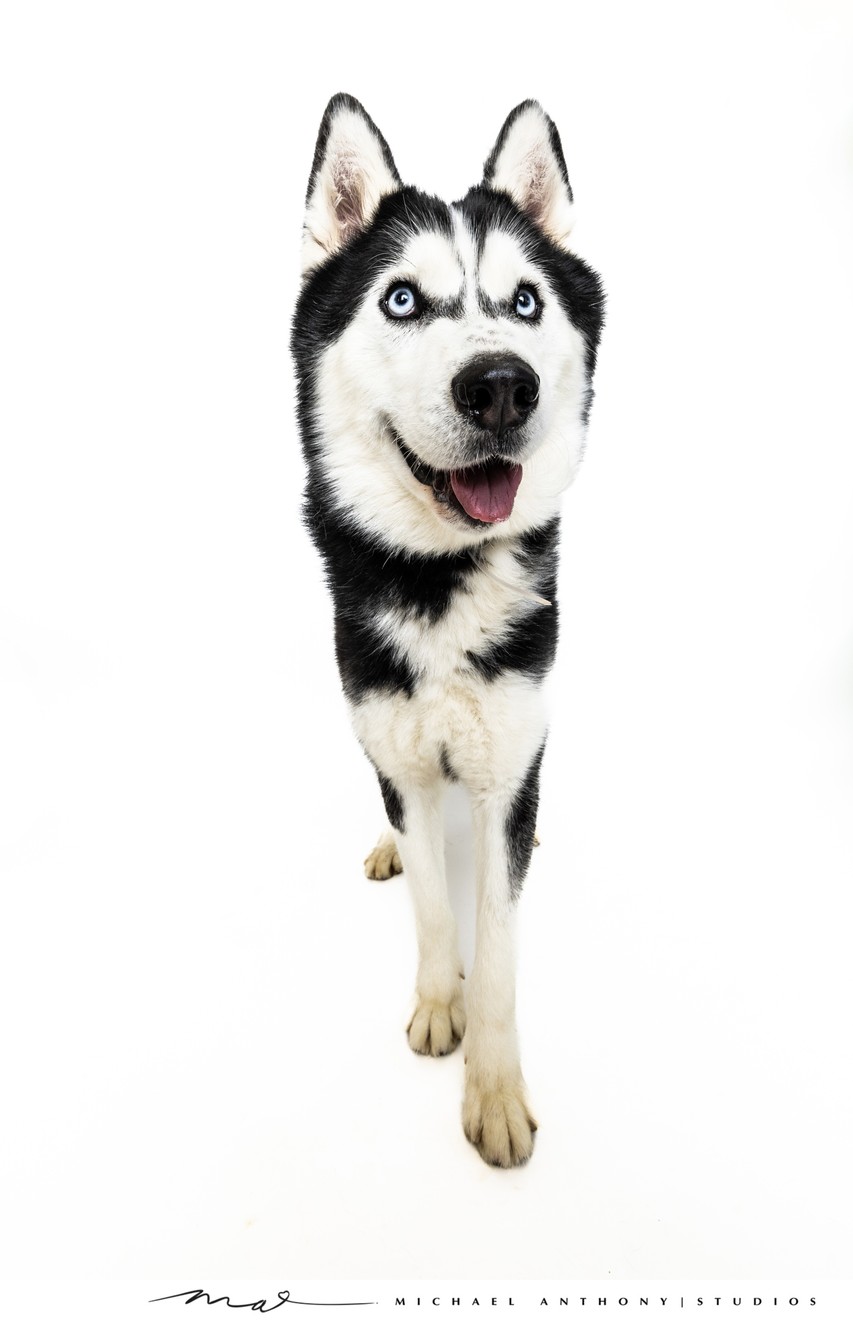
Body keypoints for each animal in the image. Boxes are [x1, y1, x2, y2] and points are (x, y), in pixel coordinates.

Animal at [292, 95, 605, 1168]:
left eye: (524, 303)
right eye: (401, 301)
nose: (500, 384)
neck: (441, 581)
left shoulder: (509, 761)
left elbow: (498, 939)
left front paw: (496, 1091)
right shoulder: (402, 758)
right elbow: (433, 899)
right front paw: (439, 1005)